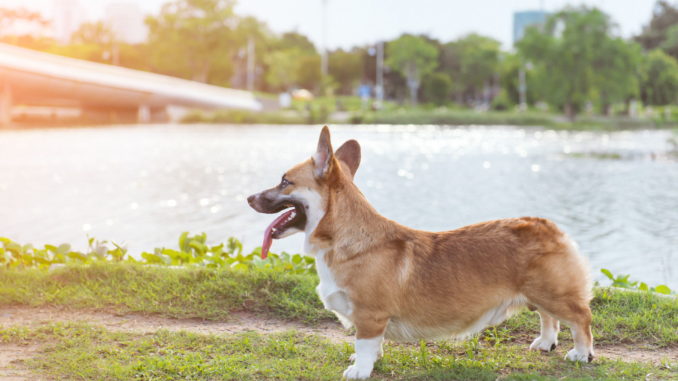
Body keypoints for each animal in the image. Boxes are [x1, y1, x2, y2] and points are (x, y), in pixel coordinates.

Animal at [248, 127, 596, 378]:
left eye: (284, 181)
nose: (248, 198)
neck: (345, 239)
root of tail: (548, 225)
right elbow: (373, 346)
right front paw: (369, 361)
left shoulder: (370, 315)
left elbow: (365, 344)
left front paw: (359, 370)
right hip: (539, 293)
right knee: (549, 317)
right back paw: (545, 343)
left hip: (553, 292)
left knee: (581, 318)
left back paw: (581, 354)